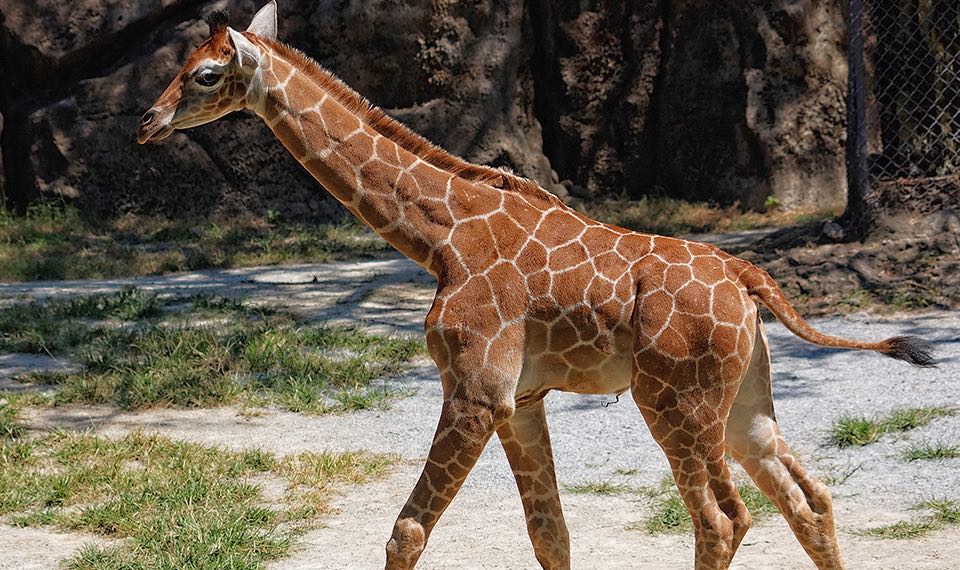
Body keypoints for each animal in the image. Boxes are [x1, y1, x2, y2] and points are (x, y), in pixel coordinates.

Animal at [138, 3, 936, 569]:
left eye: (206, 74)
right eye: (182, 64)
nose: (146, 121)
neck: (443, 239)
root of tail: (748, 277)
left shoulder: (475, 389)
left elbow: (406, 532)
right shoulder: (520, 398)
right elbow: (550, 534)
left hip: (675, 398)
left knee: (723, 517)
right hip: (745, 400)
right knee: (811, 500)